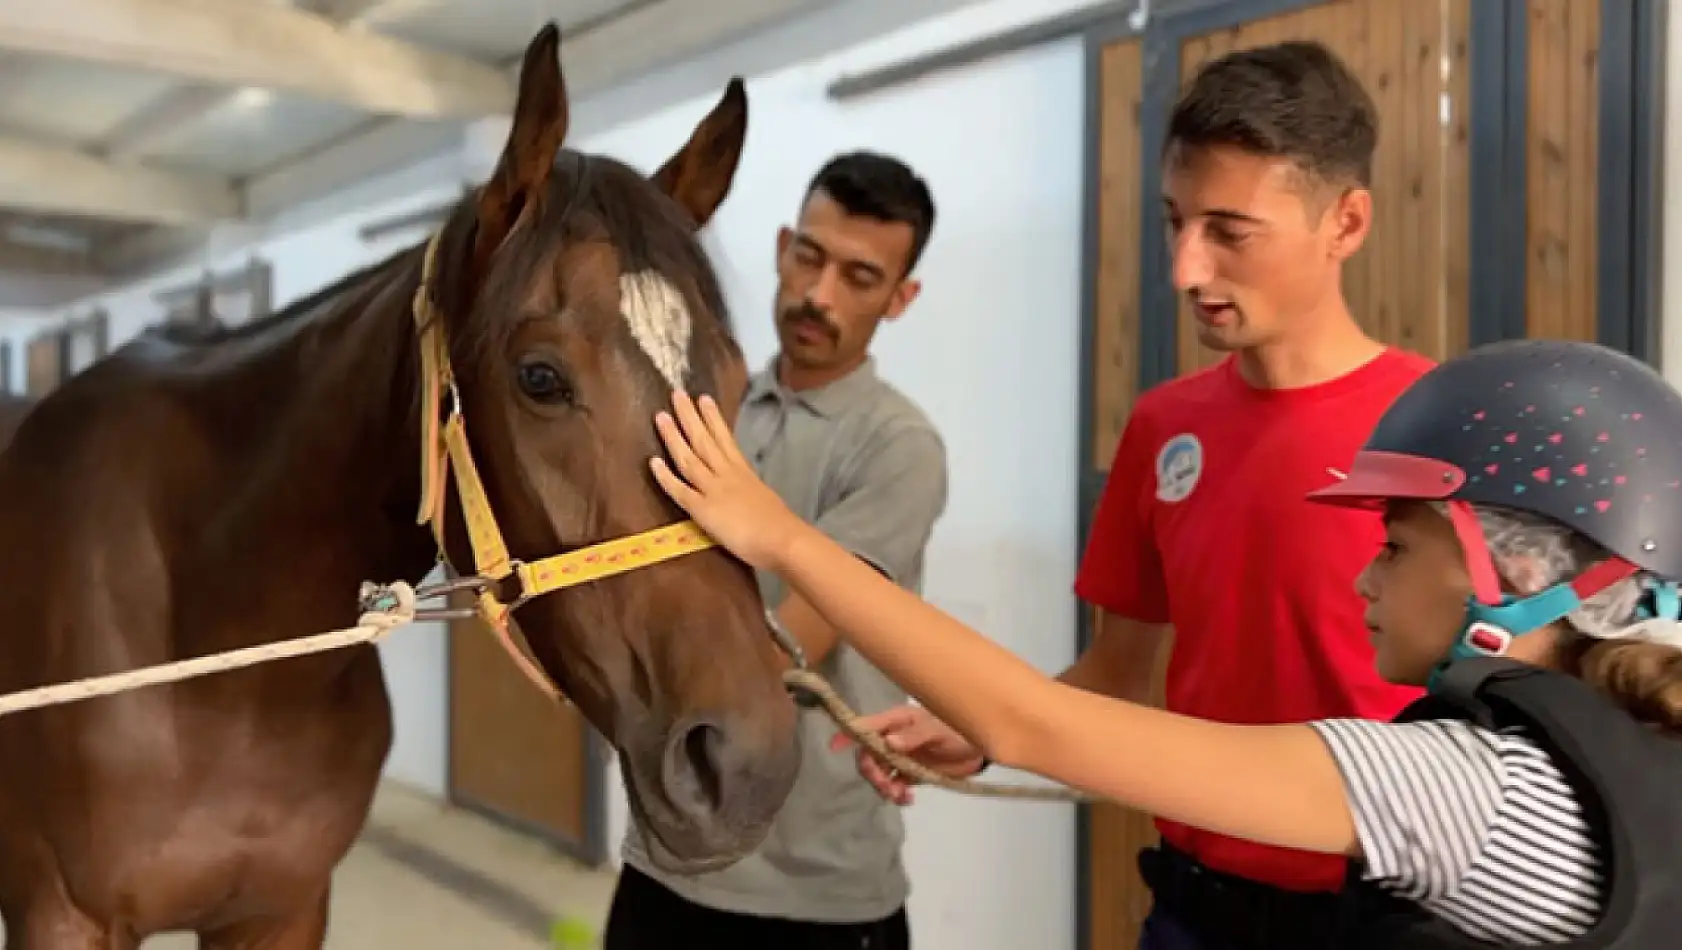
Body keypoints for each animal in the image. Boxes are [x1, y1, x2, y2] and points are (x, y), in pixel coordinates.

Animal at [0, 22, 803, 948]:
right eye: (540, 377)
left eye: (737, 381)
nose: (747, 765)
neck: (217, 660)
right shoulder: (58, 915)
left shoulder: (284, 908)